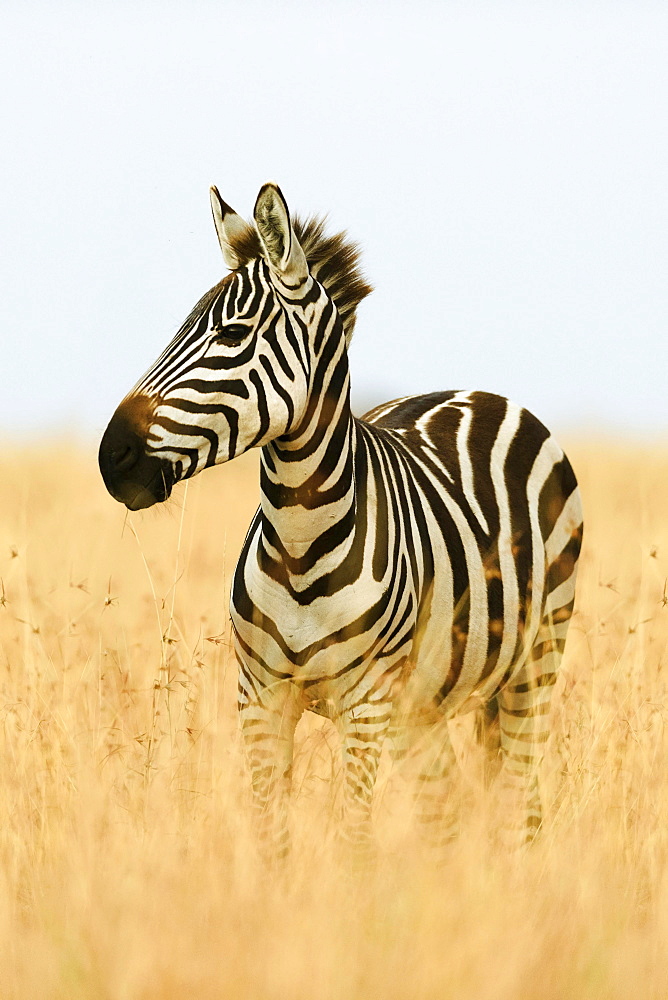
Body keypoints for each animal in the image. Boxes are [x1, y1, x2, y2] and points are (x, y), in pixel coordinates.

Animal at [96, 184, 580, 856]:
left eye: (233, 333)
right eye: (179, 327)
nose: (111, 456)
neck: (300, 542)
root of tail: (480, 393)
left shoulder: (365, 706)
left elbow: (353, 840)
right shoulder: (261, 699)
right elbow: (272, 836)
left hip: (534, 666)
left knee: (521, 803)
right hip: (425, 706)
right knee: (448, 808)